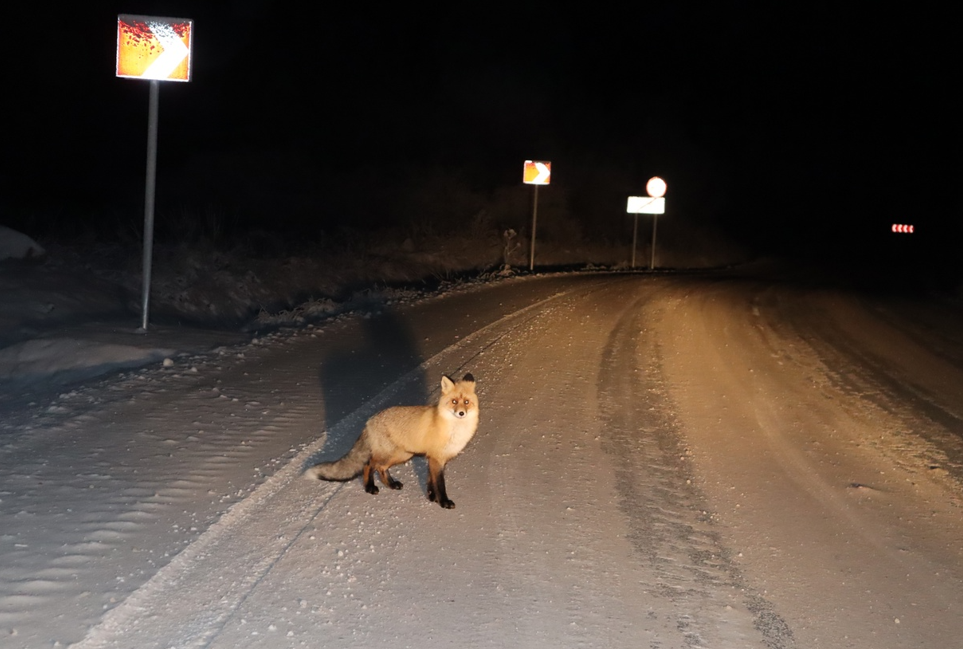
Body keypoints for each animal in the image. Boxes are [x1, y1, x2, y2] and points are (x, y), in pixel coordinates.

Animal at [306, 372, 478, 508]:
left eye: (466, 402)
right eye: (454, 402)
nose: (461, 413)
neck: (454, 429)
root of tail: (369, 420)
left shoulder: (435, 458)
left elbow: (431, 481)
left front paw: (431, 497)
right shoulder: (436, 459)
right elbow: (440, 484)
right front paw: (443, 502)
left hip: (402, 455)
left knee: (380, 468)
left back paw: (391, 484)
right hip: (393, 454)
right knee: (369, 464)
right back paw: (369, 487)